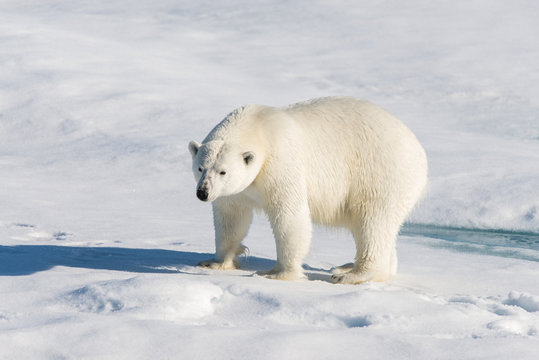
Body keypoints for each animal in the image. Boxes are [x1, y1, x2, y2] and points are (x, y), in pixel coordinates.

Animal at [188, 96, 428, 284]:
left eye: (223, 171)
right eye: (200, 168)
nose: (203, 193)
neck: (258, 127)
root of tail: (419, 151)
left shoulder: (280, 163)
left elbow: (289, 215)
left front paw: (278, 274)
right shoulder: (237, 191)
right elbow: (231, 217)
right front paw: (215, 263)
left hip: (380, 173)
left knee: (372, 222)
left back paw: (351, 274)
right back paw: (348, 266)